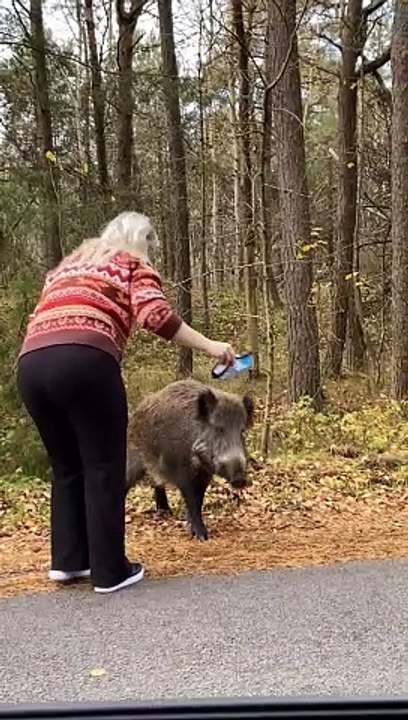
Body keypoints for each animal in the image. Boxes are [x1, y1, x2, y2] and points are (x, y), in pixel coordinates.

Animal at [126, 379, 254, 541]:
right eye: (219, 429)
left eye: (241, 431)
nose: (240, 479)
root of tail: (137, 412)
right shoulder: (183, 473)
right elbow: (192, 502)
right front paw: (202, 537)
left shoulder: (205, 476)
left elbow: (199, 501)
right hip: (134, 457)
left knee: (157, 483)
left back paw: (166, 513)